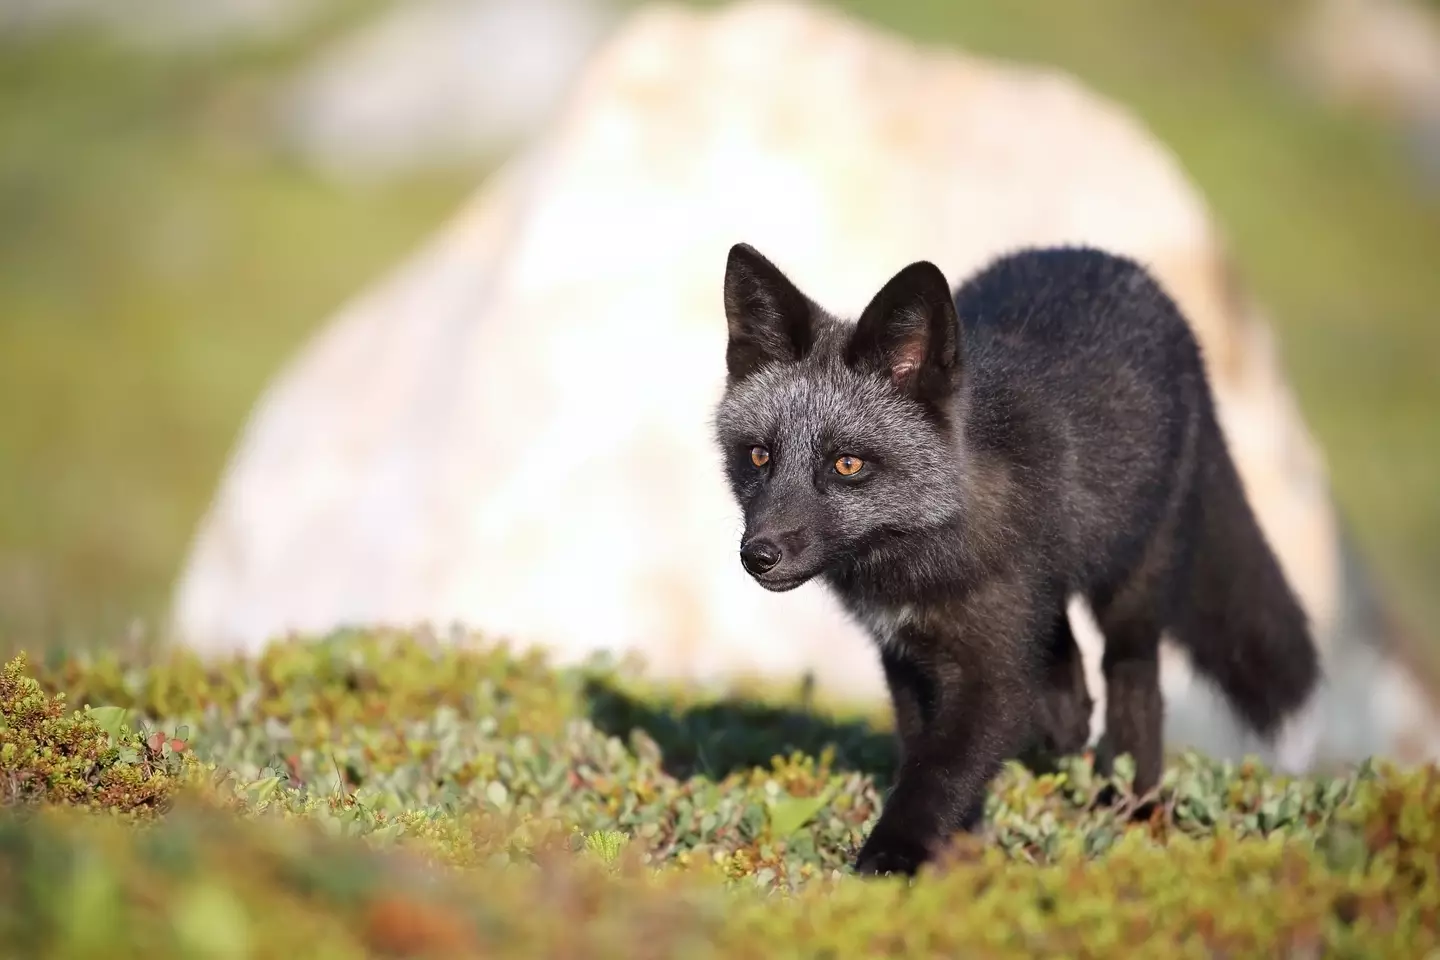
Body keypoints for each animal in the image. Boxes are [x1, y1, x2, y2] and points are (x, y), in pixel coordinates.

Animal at [712, 242, 1323, 877]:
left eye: (847, 464)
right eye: (758, 456)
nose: (758, 555)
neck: (924, 554)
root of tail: (1114, 262)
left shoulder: (993, 674)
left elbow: (939, 772)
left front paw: (893, 856)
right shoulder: (904, 655)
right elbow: (924, 750)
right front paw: (961, 838)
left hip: (1132, 589)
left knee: (1134, 681)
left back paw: (1134, 800)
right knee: (1063, 647)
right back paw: (1067, 714)